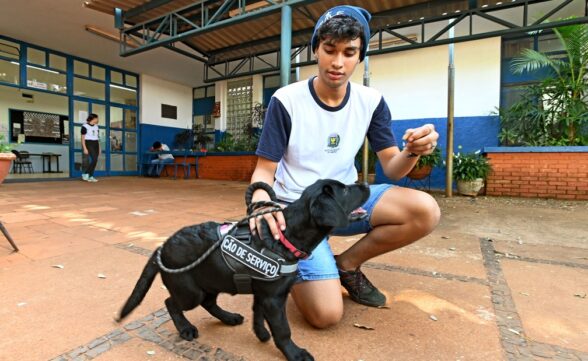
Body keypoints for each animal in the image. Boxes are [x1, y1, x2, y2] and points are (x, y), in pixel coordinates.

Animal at [117, 179, 370, 358]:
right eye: (344, 191)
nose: (367, 184)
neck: (284, 236)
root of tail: (161, 247)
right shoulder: (273, 298)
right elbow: (283, 330)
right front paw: (294, 353)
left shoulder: (262, 293)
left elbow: (257, 314)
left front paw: (261, 334)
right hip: (189, 290)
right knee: (171, 302)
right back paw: (185, 329)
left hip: (212, 280)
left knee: (209, 303)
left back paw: (228, 318)